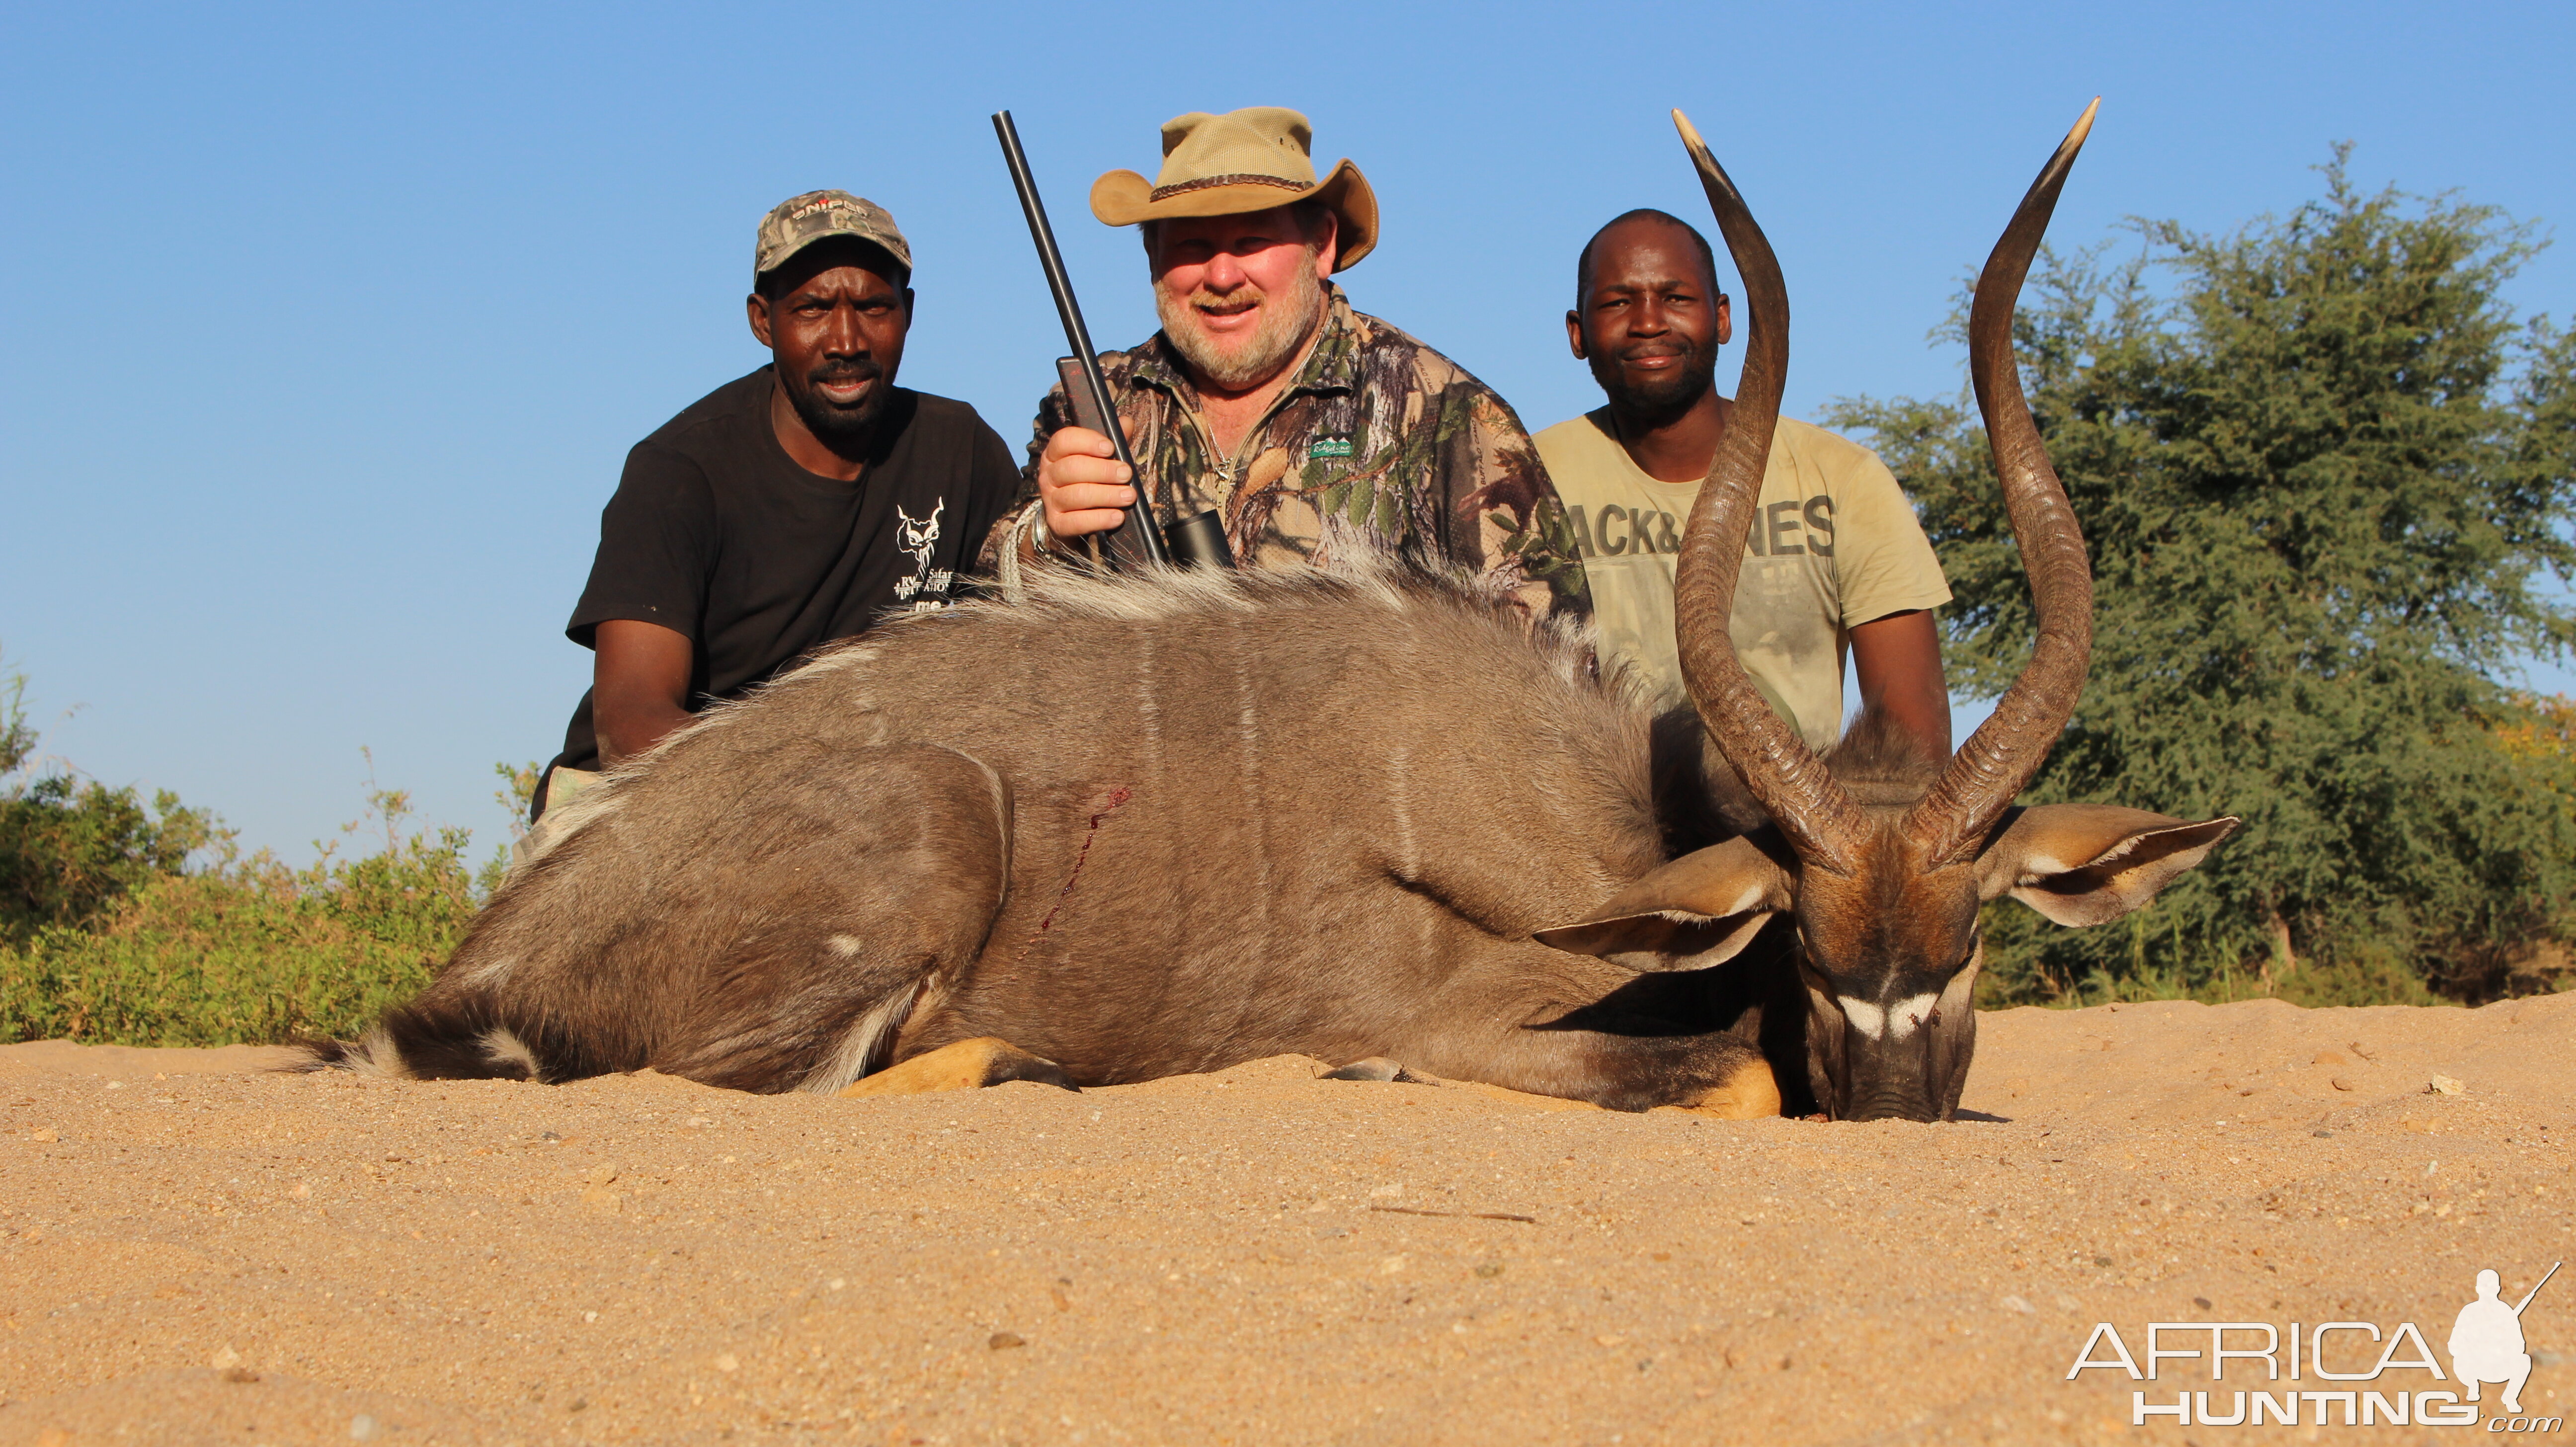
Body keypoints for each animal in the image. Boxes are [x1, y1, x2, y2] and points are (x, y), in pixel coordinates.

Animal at [306, 104, 2236, 1117]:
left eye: (1972, 935)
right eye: (1817, 946)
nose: (1899, 1109)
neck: (1594, 816)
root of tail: (494, 949)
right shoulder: (1468, 1019)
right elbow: (1723, 1077)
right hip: (918, 829)